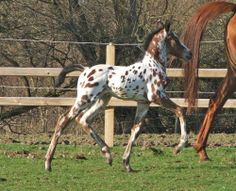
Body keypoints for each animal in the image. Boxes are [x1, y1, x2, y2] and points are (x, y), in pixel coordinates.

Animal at [44, 20, 192, 172]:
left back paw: (108, 155)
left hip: (102, 100)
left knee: (83, 119)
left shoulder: (144, 102)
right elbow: (180, 110)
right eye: (174, 38)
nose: (189, 53)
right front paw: (179, 147)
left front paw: (127, 163)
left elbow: (136, 129)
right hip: (85, 99)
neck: (153, 65)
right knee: (64, 119)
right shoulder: (156, 96)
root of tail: (85, 70)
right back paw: (48, 162)